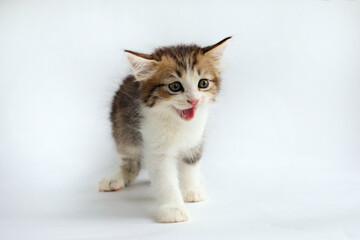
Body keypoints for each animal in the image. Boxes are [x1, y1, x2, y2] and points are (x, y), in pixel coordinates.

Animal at [98, 37, 231, 223]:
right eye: (175, 86)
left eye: (203, 83)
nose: (194, 100)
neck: (177, 123)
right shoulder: (155, 146)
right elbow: (165, 180)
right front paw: (173, 209)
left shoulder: (195, 141)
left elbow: (190, 166)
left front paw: (191, 190)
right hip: (122, 129)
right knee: (131, 161)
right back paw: (115, 179)